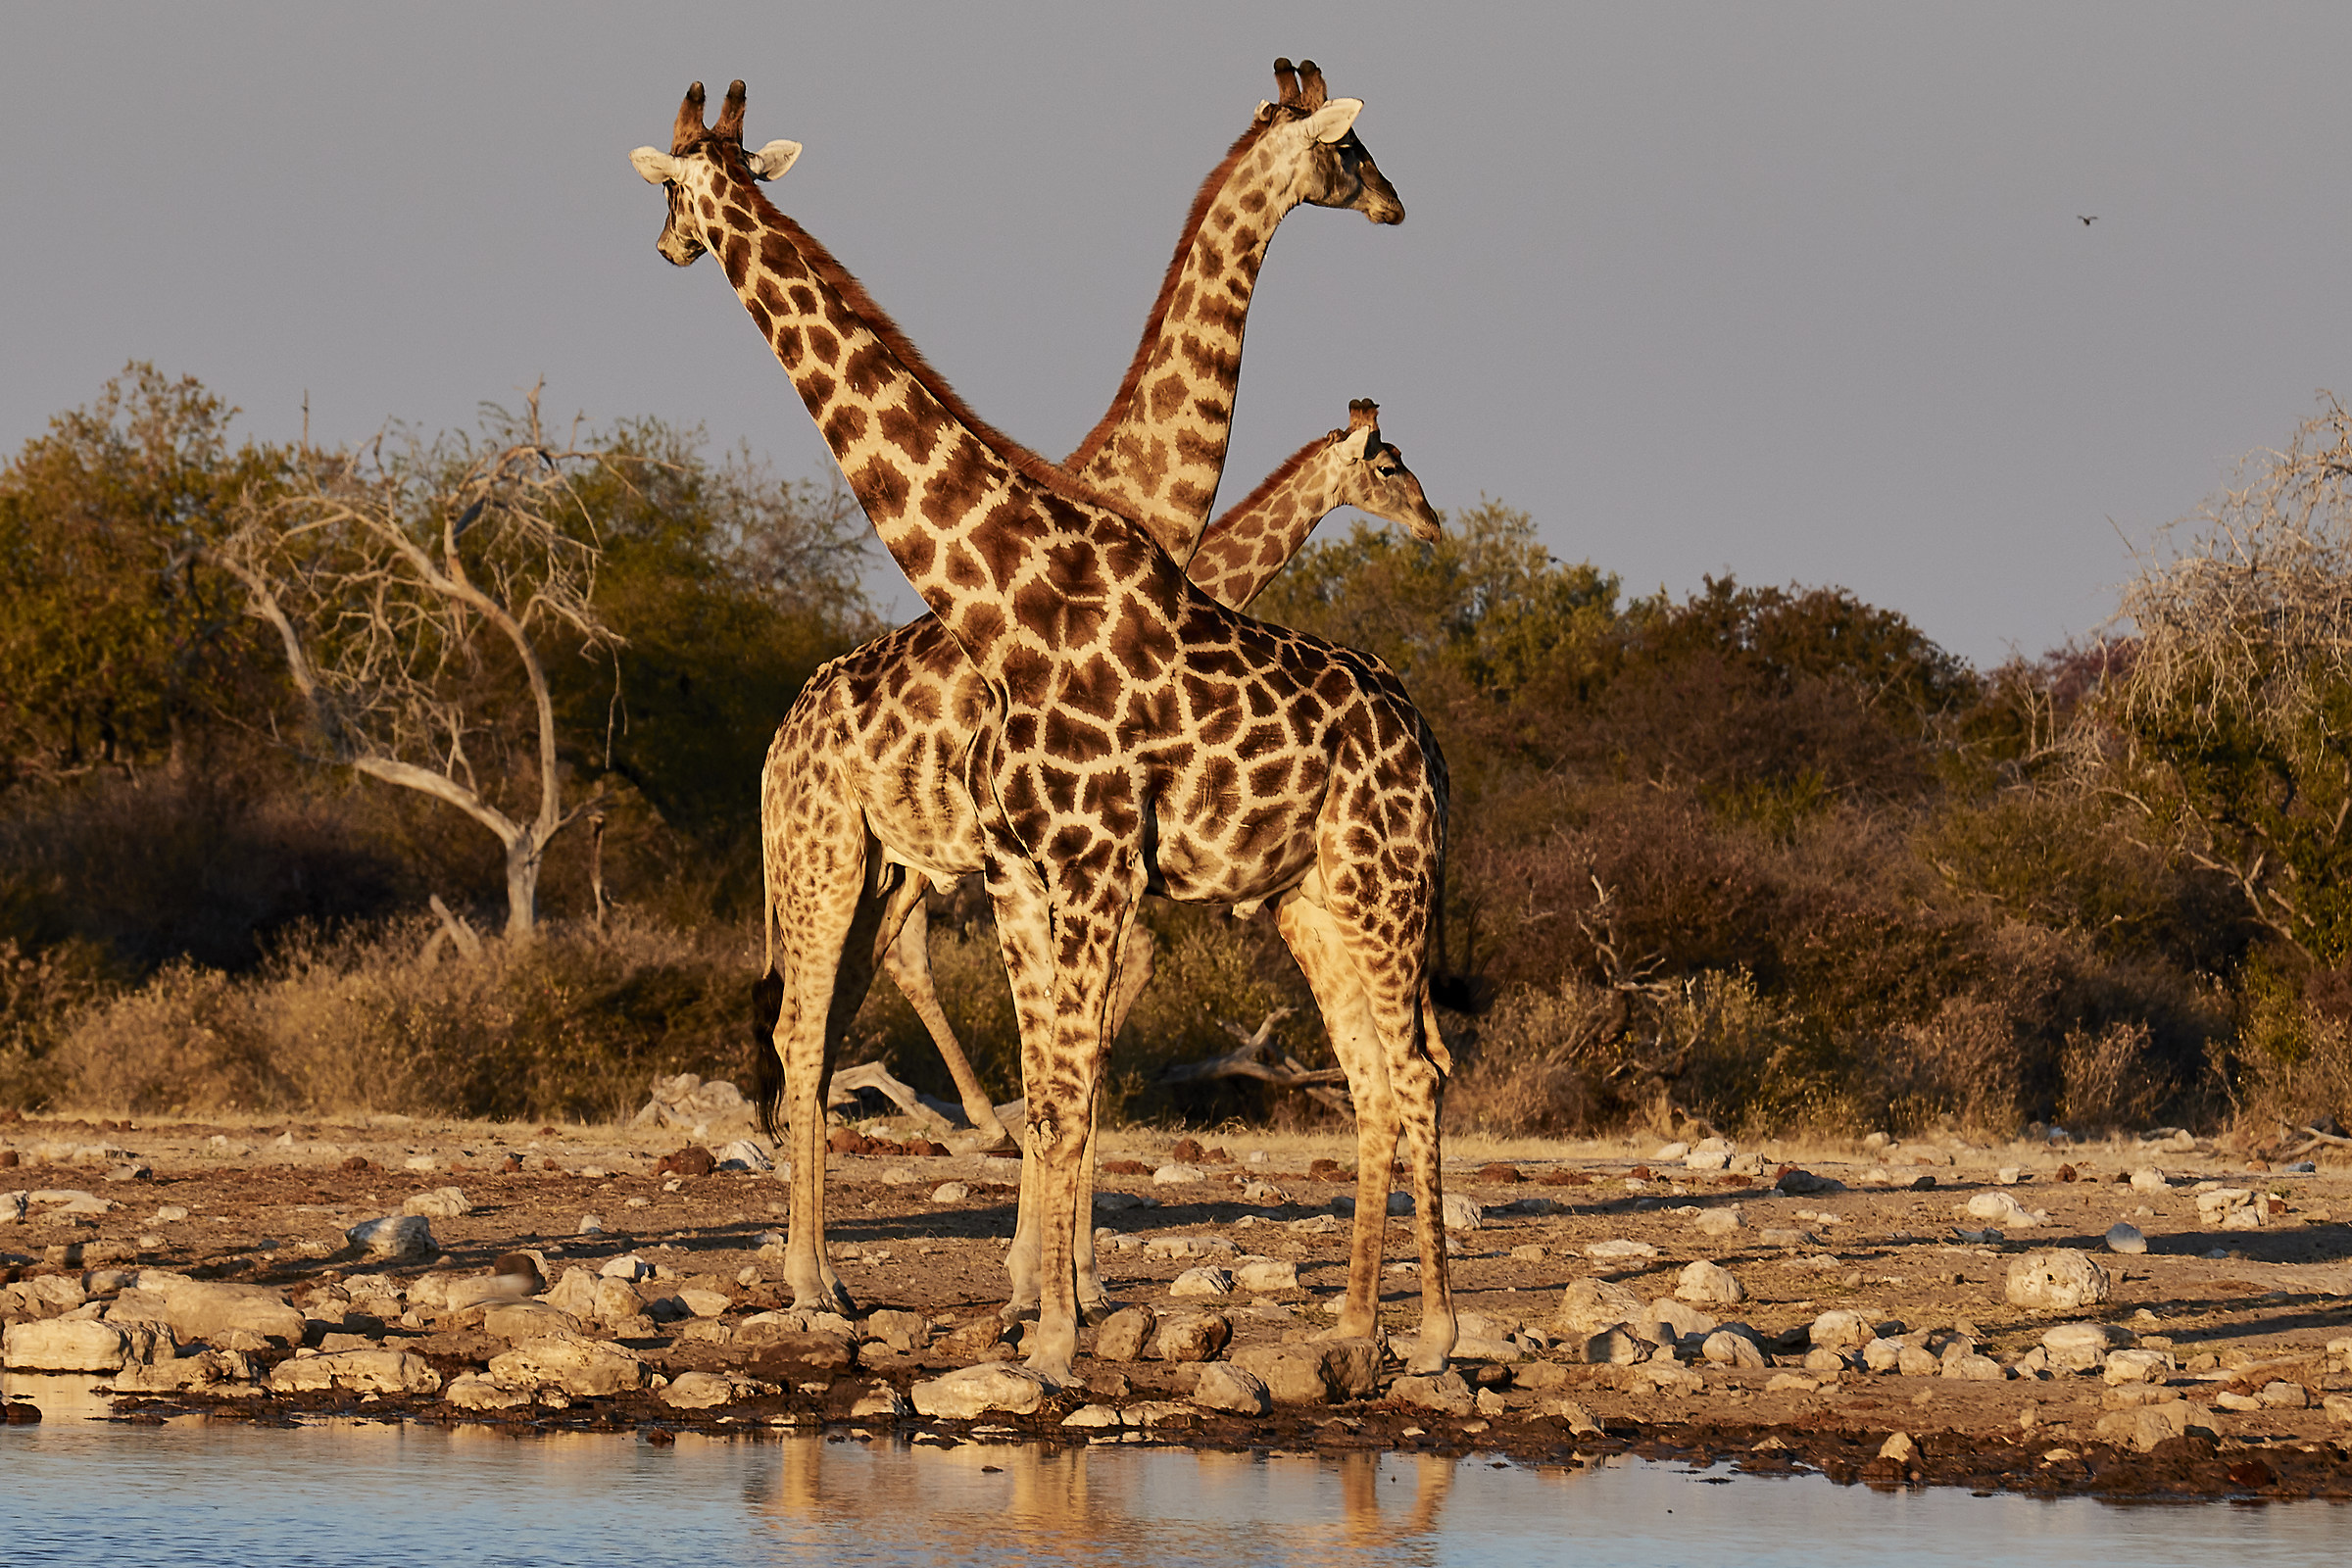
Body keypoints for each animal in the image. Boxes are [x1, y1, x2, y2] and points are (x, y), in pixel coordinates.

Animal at [755, 398, 1441, 1319]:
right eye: (1390, 466)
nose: (1433, 524)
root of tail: (776, 741)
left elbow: (1090, 1044)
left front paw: (1067, 1275)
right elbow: (1071, 1047)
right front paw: (1051, 1278)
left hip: (885, 875)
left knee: (827, 1020)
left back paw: (828, 1269)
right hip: (825, 860)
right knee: (809, 1021)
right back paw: (817, 1275)